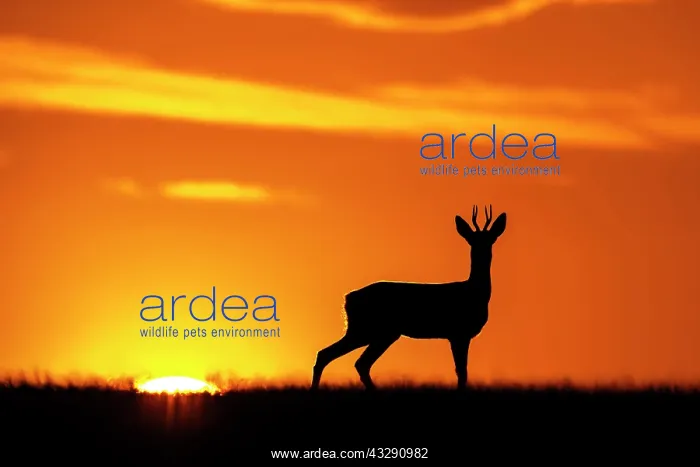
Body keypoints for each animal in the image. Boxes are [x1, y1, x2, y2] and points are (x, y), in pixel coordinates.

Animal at [311, 205, 507, 390]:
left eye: (491, 239)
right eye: (472, 240)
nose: (483, 251)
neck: (474, 292)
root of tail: (347, 298)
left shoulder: (458, 335)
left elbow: (461, 371)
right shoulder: (459, 333)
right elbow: (462, 371)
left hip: (380, 333)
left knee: (353, 361)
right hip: (367, 329)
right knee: (334, 356)